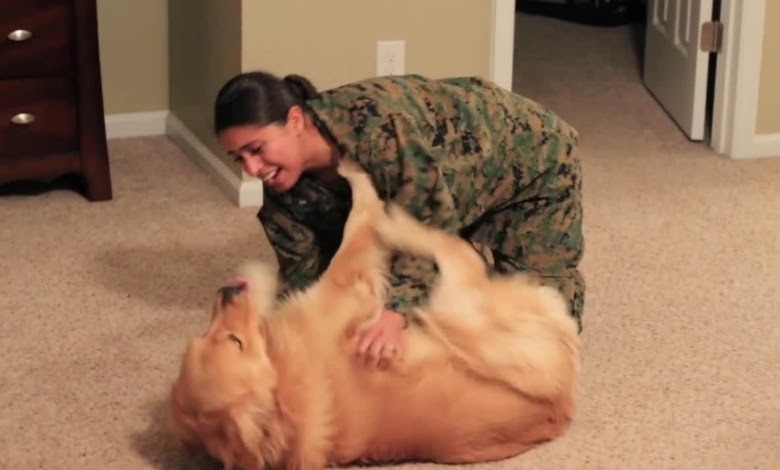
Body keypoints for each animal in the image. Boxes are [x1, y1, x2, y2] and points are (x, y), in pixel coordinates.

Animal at [169, 160, 580, 468]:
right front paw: (357, 178)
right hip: (462, 309)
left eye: (214, 337)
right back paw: (398, 219)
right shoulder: (344, 285)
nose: (226, 292)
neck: (280, 375)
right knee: (452, 248)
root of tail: (563, 406)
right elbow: (355, 231)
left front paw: (255, 276)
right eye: (234, 341)